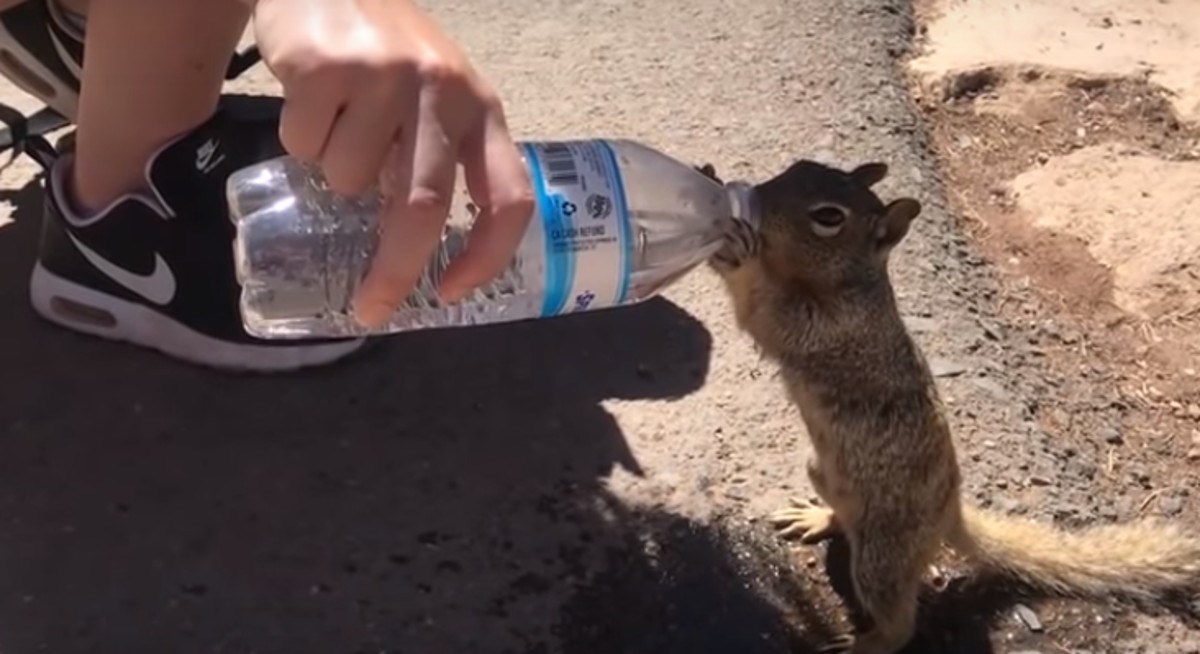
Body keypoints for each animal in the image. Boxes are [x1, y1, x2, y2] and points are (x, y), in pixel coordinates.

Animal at [696, 159, 1200, 652]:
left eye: (828, 217)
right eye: (799, 166)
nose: (755, 198)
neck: (849, 283)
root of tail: (948, 513)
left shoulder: (828, 328)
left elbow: (762, 314)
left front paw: (735, 248)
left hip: (883, 553)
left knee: (899, 622)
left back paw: (864, 643)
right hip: (821, 470)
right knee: (844, 517)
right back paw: (818, 517)